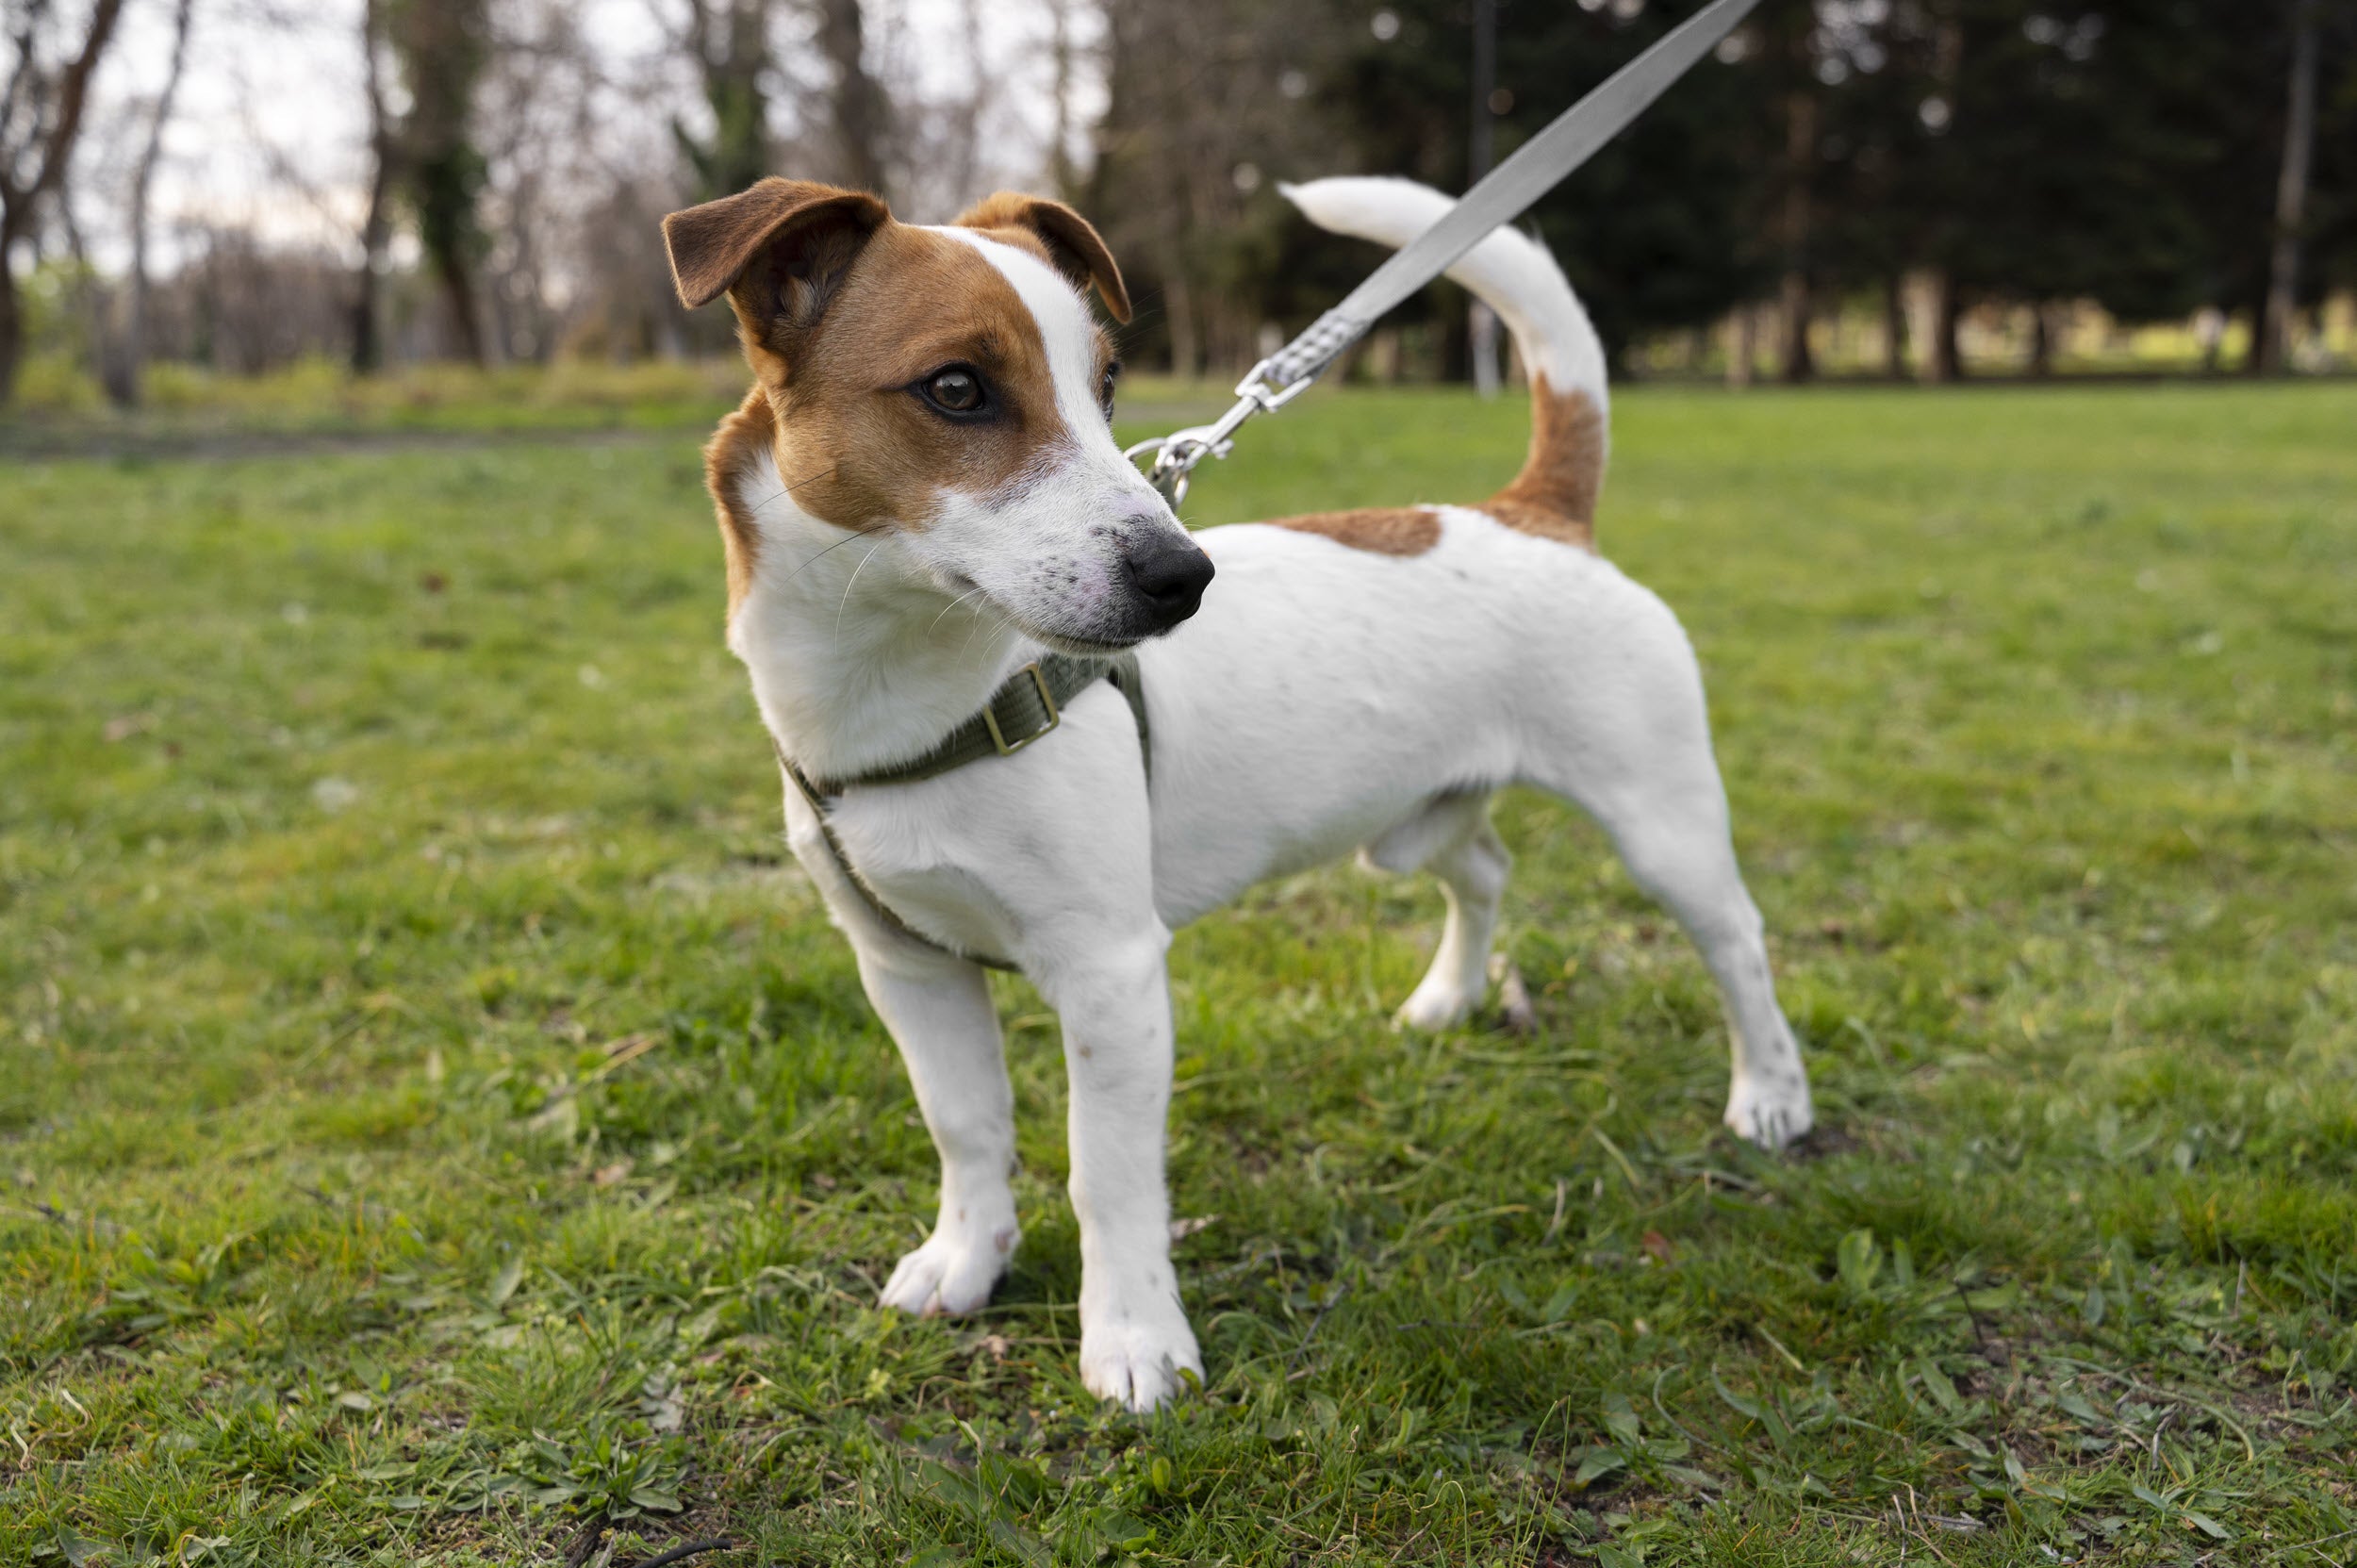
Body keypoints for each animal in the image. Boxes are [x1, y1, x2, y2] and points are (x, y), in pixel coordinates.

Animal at [669, 176, 1820, 1414]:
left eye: (1107, 384)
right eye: (957, 388)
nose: (1183, 577)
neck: (912, 697)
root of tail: (1530, 512)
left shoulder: (1112, 974)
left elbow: (1107, 1177)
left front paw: (1132, 1339)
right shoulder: (905, 966)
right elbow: (966, 1125)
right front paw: (969, 1257)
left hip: (1661, 823)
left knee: (1735, 940)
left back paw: (1771, 1095)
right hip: (1409, 827)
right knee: (1483, 869)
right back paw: (1448, 997)